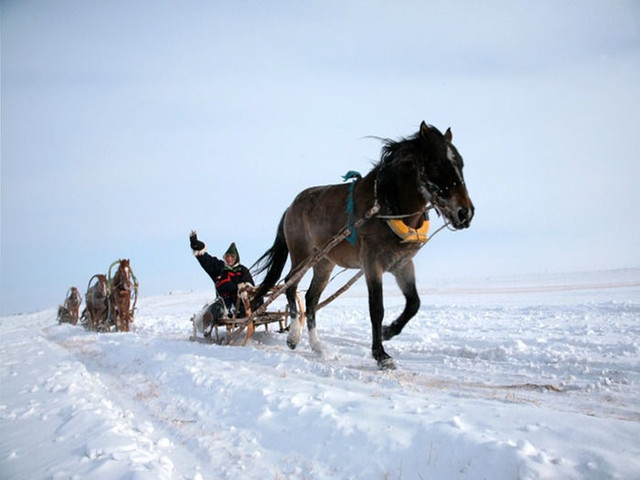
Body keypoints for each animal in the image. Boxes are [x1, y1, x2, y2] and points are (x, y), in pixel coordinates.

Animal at [252, 121, 472, 368]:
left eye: (461, 163)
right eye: (436, 164)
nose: (465, 213)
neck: (387, 206)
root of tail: (291, 207)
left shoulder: (402, 265)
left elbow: (414, 303)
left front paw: (388, 331)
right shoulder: (372, 263)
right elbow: (376, 307)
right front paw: (380, 354)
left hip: (324, 263)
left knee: (310, 299)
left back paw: (318, 346)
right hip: (302, 255)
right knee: (290, 285)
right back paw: (293, 336)